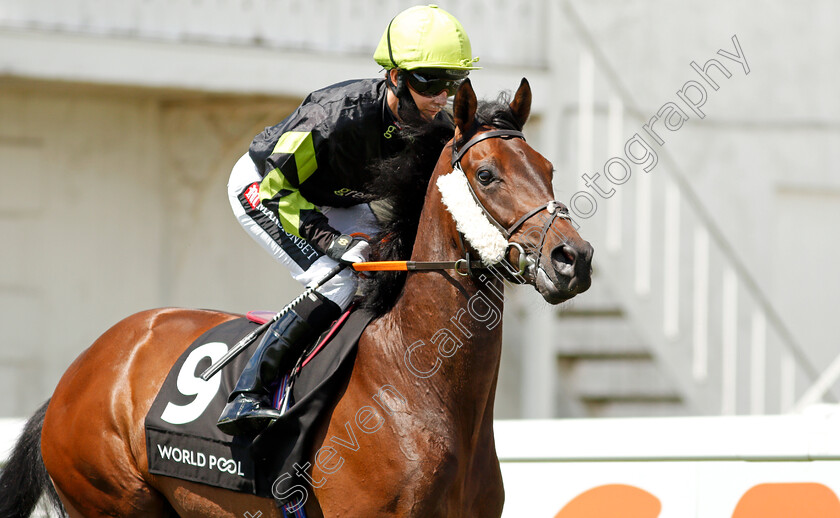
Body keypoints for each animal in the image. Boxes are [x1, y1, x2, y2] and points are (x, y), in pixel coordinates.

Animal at [0, 78, 592, 518]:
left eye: (548, 169)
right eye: (486, 174)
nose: (573, 258)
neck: (414, 386)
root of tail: (78, 375)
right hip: (113, 498)